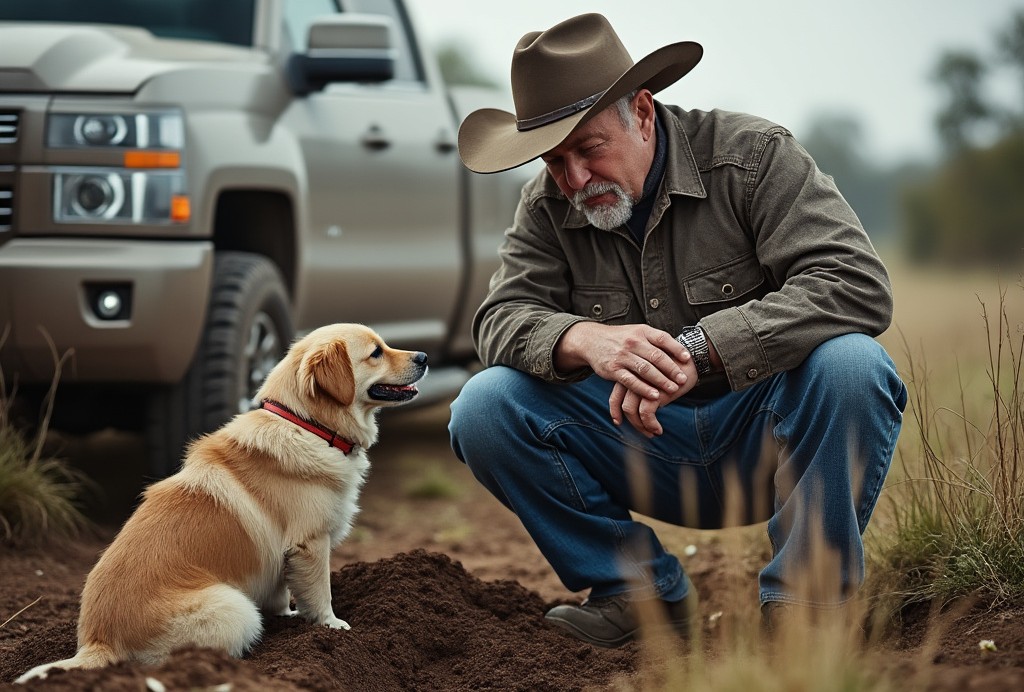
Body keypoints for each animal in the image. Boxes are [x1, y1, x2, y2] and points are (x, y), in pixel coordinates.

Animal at [17, 323, 423, 679]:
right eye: (376, 352)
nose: (423, 355)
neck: (306, 424)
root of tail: (97, 642)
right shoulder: (311, 544)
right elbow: (320, 593)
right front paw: (332, 627)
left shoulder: (283, 555)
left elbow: (281, 591)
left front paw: (289, 617)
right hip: (236, 608)